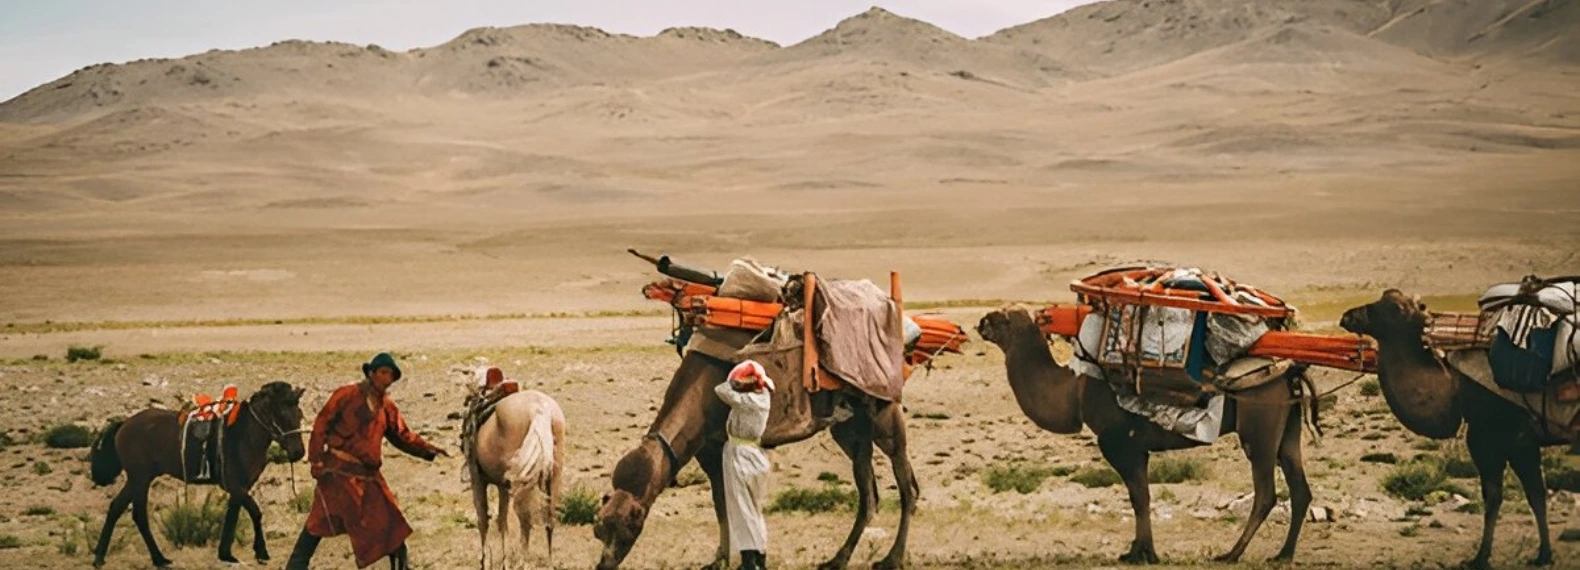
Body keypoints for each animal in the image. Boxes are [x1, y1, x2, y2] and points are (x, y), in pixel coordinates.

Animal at [89, 378, 308, 565]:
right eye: (281, 415)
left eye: (299, 415)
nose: (298, 452)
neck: (243, 435)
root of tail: (124, 424)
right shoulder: (236, 486)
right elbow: (255, 512)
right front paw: (261, 552)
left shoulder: (240, 488)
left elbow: (232, 516)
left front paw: (226, 554)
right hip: (140, 479)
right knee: (139, 515)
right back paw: (159, 559)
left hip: (137, 479)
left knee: (116, 508)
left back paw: (100, 557)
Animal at [590, 323, 916, 568]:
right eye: (599, 528)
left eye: (632, 525)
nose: (604, 564)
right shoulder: (708, 448)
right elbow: (720, 503)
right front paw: (721, 559)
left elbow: (739, 502)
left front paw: (748, 558)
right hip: (851, 427)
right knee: (869, 492)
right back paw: (838, 559)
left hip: (883, 411)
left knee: (905, 482)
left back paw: (892, 559)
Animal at [979, 306, 1314, 558]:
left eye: (1003, 317)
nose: (981, 322)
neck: (1074, 390)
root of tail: (1290, 372)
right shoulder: (1137, 449)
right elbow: (1142, 497)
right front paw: (1139, 551)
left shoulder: (1118, 443)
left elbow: (1139, 497)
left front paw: (1142, 553)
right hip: (1288, 427)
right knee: (1299, 488)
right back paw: (1283, 554)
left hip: (1259, 426)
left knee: (1266, 493)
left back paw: (1232, 554)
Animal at [1339, 290, 1561, 565]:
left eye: (1395, 308)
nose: (1348, 316)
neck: (1457, 389)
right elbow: (1522, 496)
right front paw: (1539, 553)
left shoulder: (1510, 438)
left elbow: (1516, 496)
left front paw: (1486, 557)